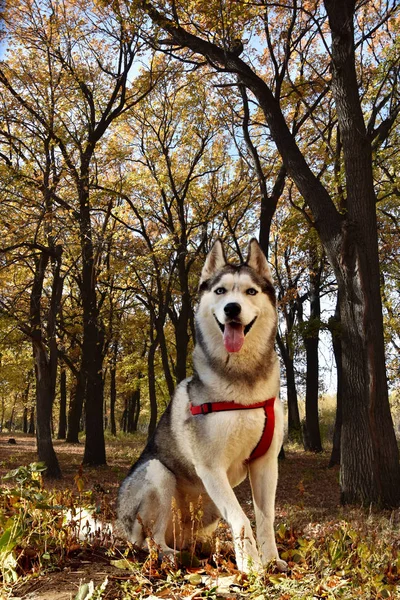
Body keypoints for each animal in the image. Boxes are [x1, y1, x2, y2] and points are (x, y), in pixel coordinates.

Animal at [117, 239, 286, 572]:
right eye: (220, 291)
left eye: (250, 292)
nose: (232, 308)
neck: (243, 388)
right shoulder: (211, 467)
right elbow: (242, 518)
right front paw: (251, 567)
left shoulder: (266, 463)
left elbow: (265, 518)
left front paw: (271, 561)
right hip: (157, 474)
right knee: (150, 540)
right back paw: (169, 556)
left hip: (206, 510)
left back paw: (209, 548)